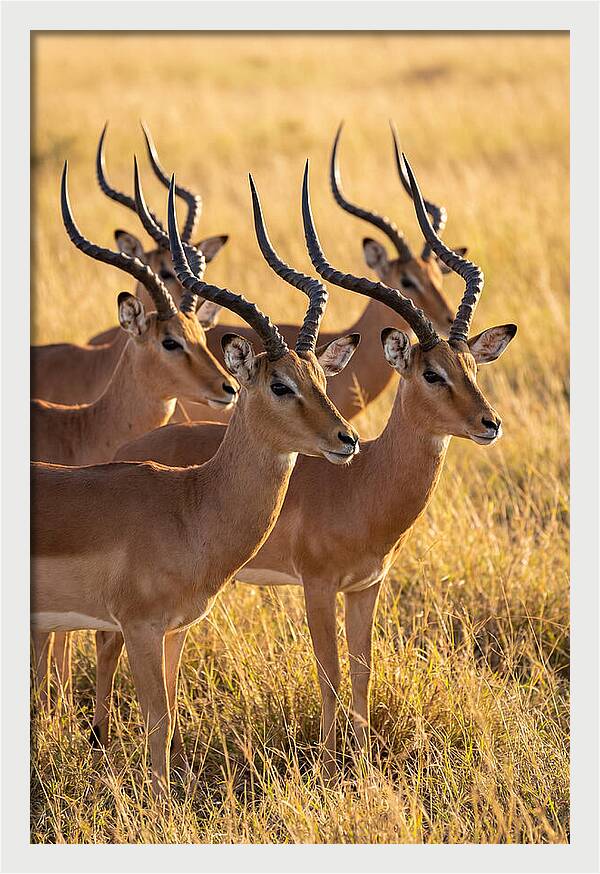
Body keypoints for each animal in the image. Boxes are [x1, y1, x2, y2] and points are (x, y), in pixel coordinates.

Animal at [31, 173, 360, 798]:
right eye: (279, 384)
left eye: (320, 377)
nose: (346, 439)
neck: (191, 507)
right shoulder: (138, 627)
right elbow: (157, 719)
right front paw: (157, 805)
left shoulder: (175, 629)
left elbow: (173, 710)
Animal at [108, 158, 516, 778]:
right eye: (431, 373)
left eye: (471, 365)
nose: (489, 423)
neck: (363, 483)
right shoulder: (318, 586)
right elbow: (329, 674)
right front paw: (329, 765)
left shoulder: (367, 587)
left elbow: (363, 672)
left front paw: (364, 761)